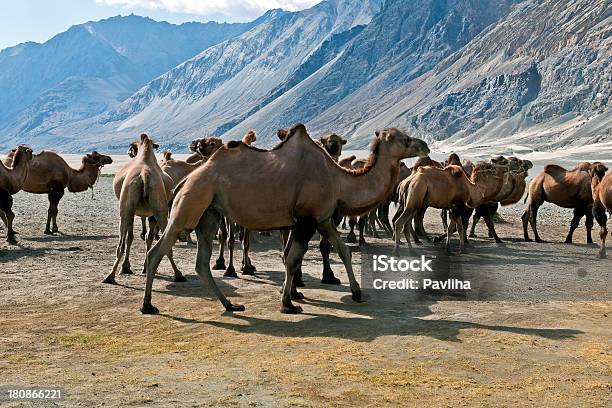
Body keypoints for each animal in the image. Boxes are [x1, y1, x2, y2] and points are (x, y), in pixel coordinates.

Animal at [103, 135, 185, 286]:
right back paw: (178, 275)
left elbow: (134, 238)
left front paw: (128, 267)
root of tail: (144, 175)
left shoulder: (134, 211)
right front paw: (142, 267)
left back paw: (110, 276)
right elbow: (146, 237)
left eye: (132, 146)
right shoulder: (148, 214)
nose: (129, 152)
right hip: (159, 210)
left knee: (121, 244)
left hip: (128, 210)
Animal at [142, 124, 430, 316]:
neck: (337, 179)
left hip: (209, 213)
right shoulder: (306, 220)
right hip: (188, 206)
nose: (424, 145)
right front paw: (288, 303)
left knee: (201, 263)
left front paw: (357, 293)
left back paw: (231, 304)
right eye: (405, 139)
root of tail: (184, 181)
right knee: (157, 250)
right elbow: (292, 259)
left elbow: (343, 251)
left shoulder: (323, 218)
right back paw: (148, 305)